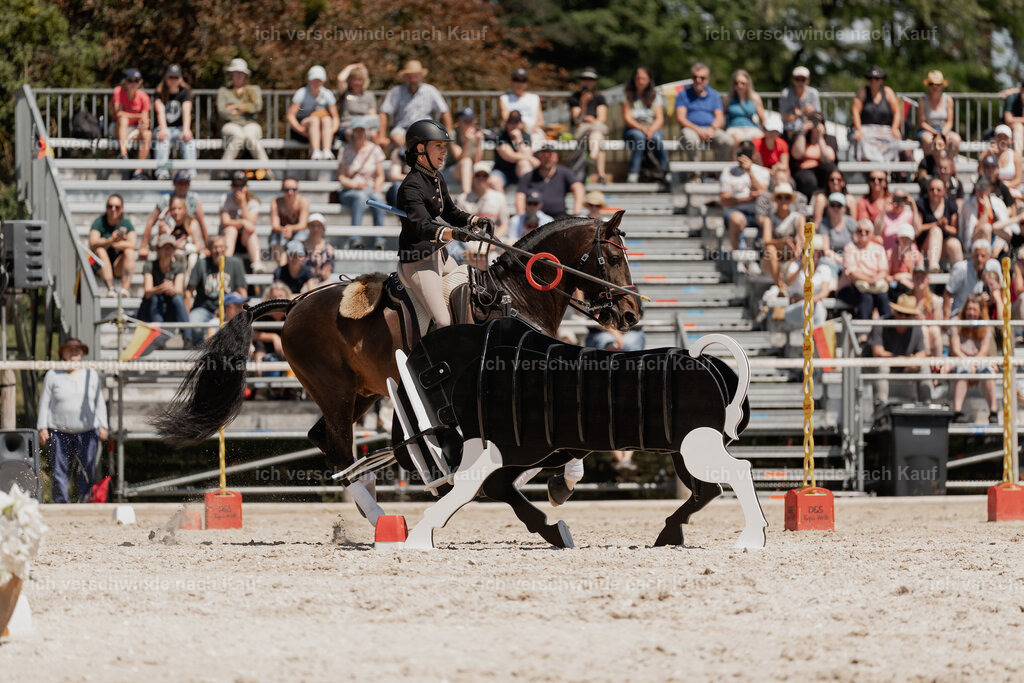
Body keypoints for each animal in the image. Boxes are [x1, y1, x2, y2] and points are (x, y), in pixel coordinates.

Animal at [152, 212, 642, 527]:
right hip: (336, 392)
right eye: (615, 258)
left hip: (362, 393)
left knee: (325, 441)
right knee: (339, 449)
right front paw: (548, 485)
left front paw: (551, 482)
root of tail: (293, 305)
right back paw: (379, 518)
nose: (632, 313)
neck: (514, 299)